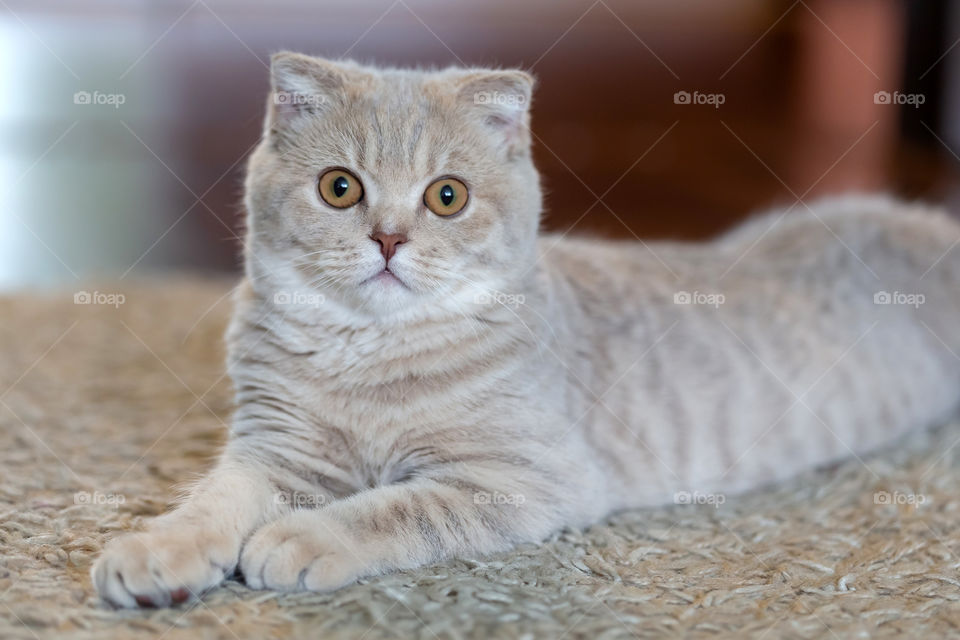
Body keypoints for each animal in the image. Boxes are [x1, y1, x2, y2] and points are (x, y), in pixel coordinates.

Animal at [92, 52, 960, 608]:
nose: (388, 239)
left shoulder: (528, 479)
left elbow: (400, 507)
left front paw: (302, 538)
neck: (369, 357)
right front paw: (155, 549)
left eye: (446, 197)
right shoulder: (275, 450)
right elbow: (214, 499)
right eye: (340, 188)